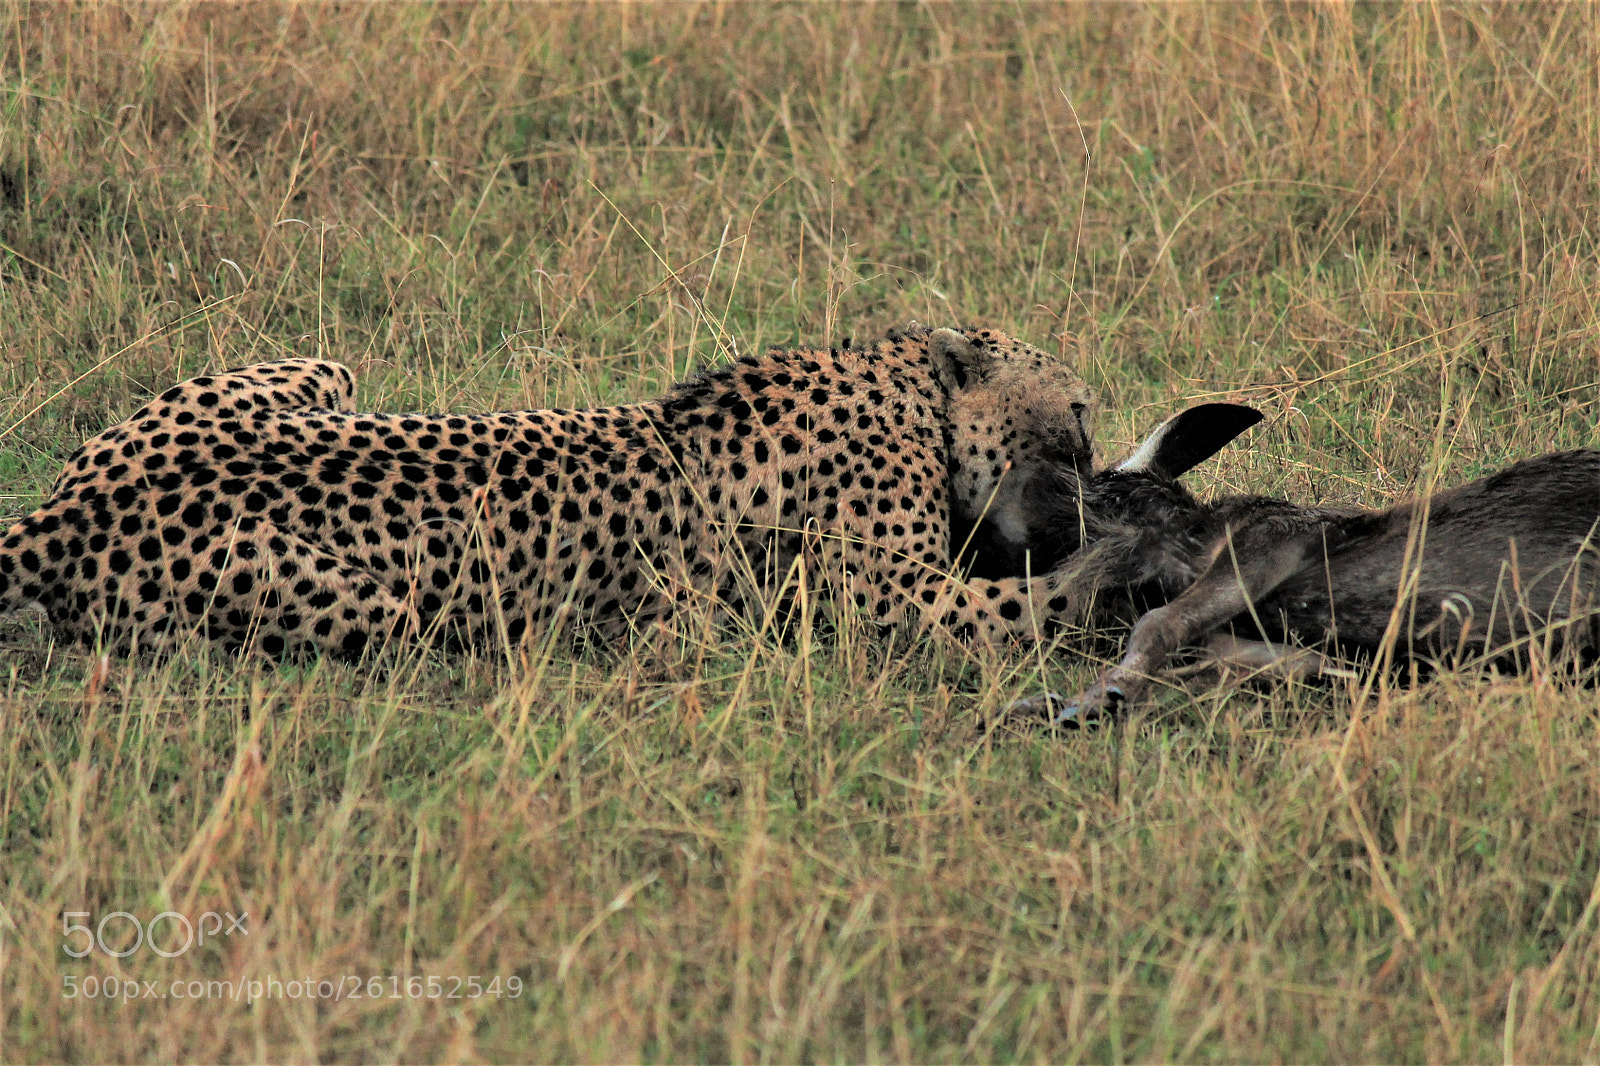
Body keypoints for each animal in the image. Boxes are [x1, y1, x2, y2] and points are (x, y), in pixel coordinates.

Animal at [0, 326, 1105, 659]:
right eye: (1083, 409)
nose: (1100, 464)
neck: (909, 377)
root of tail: (57, 512)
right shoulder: (891, 600)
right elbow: (1020, 606)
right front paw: (1121, 576)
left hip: (320, 366)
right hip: (387, 611)